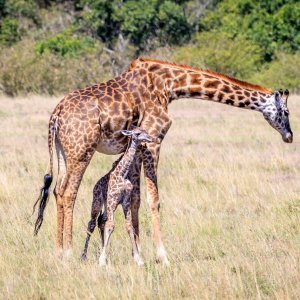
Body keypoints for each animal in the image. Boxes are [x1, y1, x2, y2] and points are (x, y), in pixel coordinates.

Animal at [81, 127, 155, 266]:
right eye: (138, 133)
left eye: (145, 131)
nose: (150, 138)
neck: (123, 173)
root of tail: (95, 185)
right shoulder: (112, 199)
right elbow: (111, 226)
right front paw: (102, 260)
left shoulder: (125, 201)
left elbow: (129, 226)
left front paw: (138, 259)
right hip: (98, 201)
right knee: (92, 223)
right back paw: (83, 256)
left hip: (108, 205)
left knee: (101, 221)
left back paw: (102, 249)